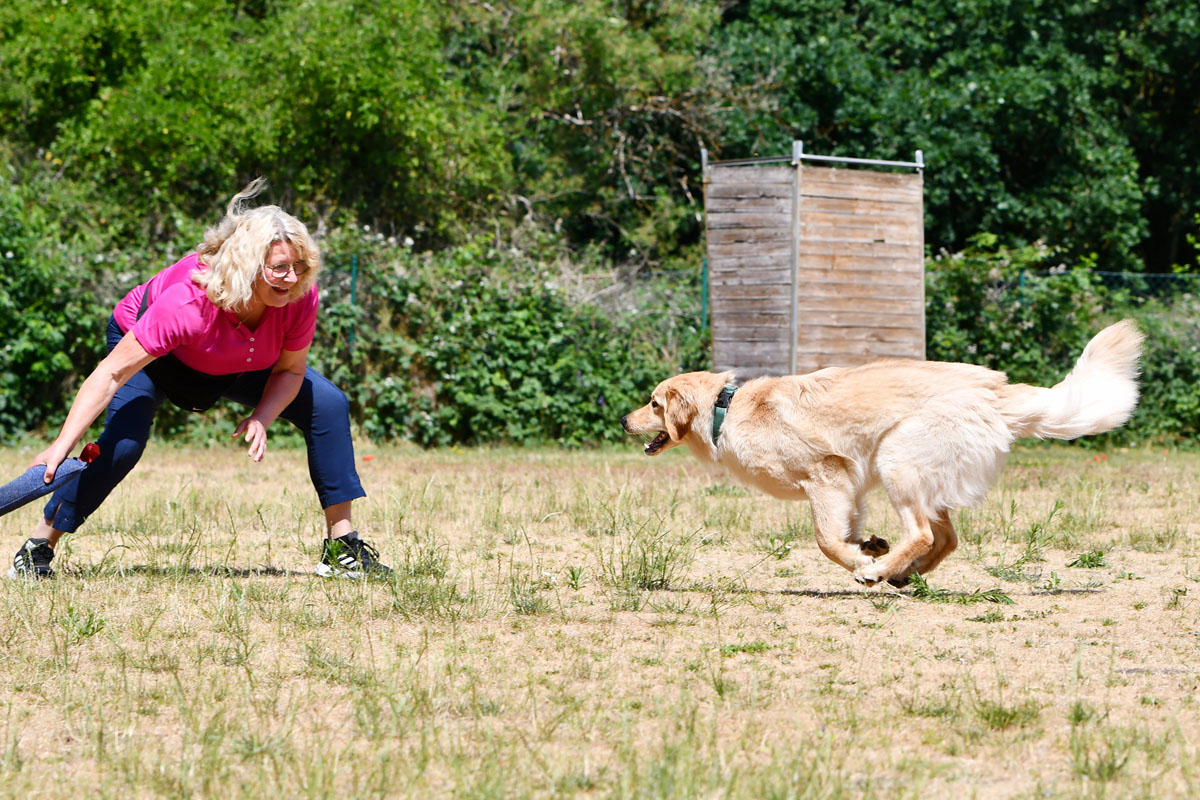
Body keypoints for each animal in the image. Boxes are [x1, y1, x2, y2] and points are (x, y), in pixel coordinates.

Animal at [628, 319, 1142, 587]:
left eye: (653, 403)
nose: (622, 421)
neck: (725, 409)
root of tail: (995, 391)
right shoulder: (849, 488)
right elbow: (846, 530)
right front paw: (867, 547)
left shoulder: (826, 476)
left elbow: (826, 540)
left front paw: (860, 561)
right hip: (917, 475)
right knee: (945, 539)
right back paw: (898, 573)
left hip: (897, 460)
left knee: (923, 535)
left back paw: (878, 574)